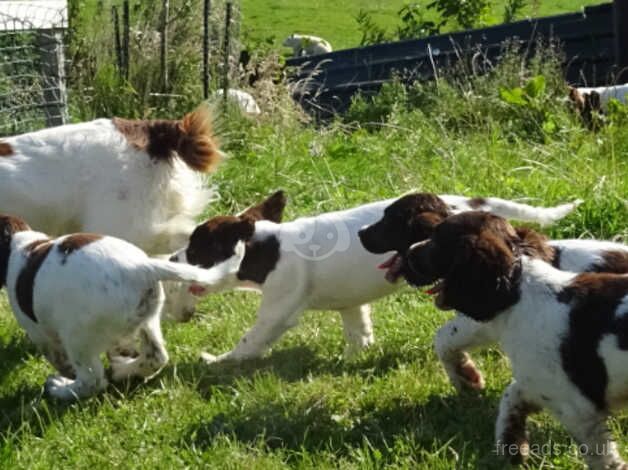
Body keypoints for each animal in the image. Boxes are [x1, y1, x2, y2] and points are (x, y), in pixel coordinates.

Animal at [0, 213, 244, 400]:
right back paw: (124, 370)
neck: (22, 244)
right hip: (148, 318)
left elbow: (62, 361)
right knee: (156, 356)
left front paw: (65, 378)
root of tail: (141, 267)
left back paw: (60, 389)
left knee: (93, 380)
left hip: (78, 337)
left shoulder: (40, 334)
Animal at [402, 212, 628, 466]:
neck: (520, 287)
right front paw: (511, 444)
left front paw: (466, 379)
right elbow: (512, 395)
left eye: (436, 240)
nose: (407, 254)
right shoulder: (541, 382)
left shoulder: (575, 405)